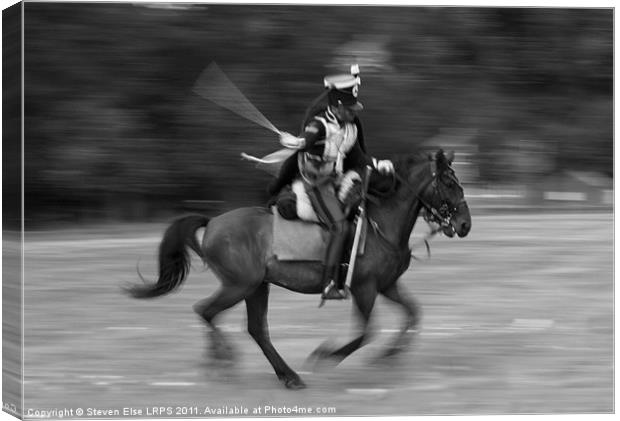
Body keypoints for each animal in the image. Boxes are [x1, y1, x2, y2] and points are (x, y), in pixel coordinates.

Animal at [128, 149, 472, 388]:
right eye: (449, 182)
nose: (465, 224)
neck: (381, 225)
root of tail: (212, 223)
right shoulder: (365, 288)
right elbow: (366, 333)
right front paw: (326, 355)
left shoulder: (387, 286)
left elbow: (413, 314)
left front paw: (390, 355)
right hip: (239, 285)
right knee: (206, 311)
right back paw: (223, 359)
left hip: (256, 287)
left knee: (255, 329)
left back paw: (287, 376)